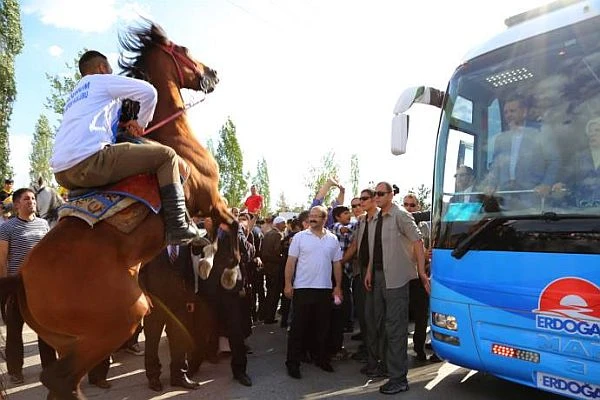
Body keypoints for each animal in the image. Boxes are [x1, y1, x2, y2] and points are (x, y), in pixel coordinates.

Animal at [3, 22, 240, 400]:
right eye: (183, 49)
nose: (213, 73)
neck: (172, 138)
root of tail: (21, 279)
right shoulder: (210, 199)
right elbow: (229, 227)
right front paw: (222, 269)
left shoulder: (208, 206)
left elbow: (217, 231)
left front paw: (204, 259)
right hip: (122, 317)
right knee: (60, 378)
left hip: (71, 339)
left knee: (61, 381)